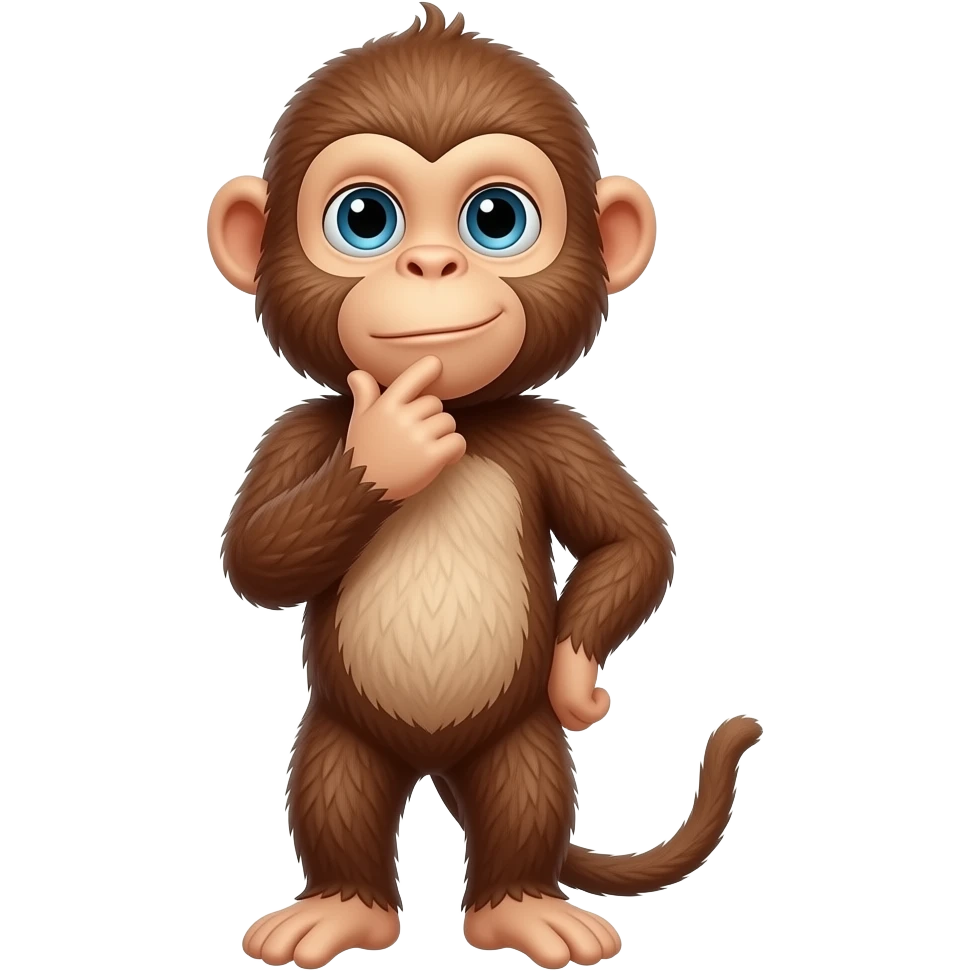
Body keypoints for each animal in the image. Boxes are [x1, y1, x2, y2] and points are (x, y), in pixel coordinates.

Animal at [209, 6, 763, 969]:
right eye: (364, 217)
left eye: (494, 217)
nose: (432, 265)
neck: (459, 408)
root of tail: (437, 767)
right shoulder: (295, 432)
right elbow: (256, 558)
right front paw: (389, 444)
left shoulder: (559, 434)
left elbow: (633, 542)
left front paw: (576, 681)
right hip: (340, 734)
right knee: (333, 791)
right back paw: (340, 909)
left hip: (514, 745)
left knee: (523, 793)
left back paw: (523, 908)